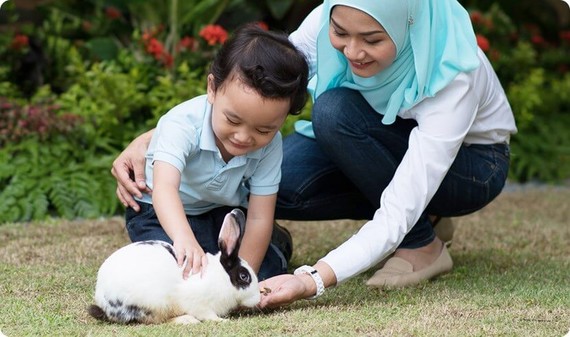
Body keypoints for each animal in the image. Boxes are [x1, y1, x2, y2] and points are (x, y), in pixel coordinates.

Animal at [86, 207, 260, 322]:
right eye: (244, 276)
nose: (258, 299)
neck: (221, 277)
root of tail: (103, 301)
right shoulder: (199, 304)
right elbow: (207, 315)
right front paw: (222, 321)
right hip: (155, 305)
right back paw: (187, 320)